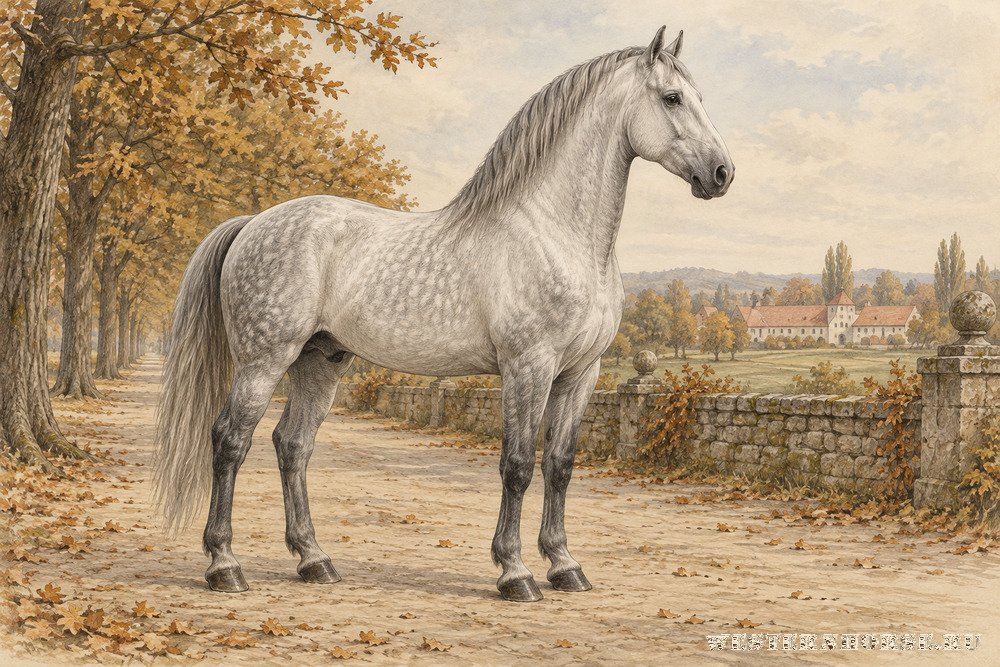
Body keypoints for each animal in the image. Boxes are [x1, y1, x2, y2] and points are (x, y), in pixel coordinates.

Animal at [153, 26, 733, 603]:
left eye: (702, 96)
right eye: (672, 98)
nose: (722, 174)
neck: (556, 234)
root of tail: (253, 223)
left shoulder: (579, 374)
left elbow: (560, 465)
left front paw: (565, 566)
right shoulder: (529, 366)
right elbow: (517, 465)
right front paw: (515, 573)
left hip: (320, 361)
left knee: (293, 445)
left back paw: (314, 559)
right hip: (264, 360)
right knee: (230, 441)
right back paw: (225, 565)